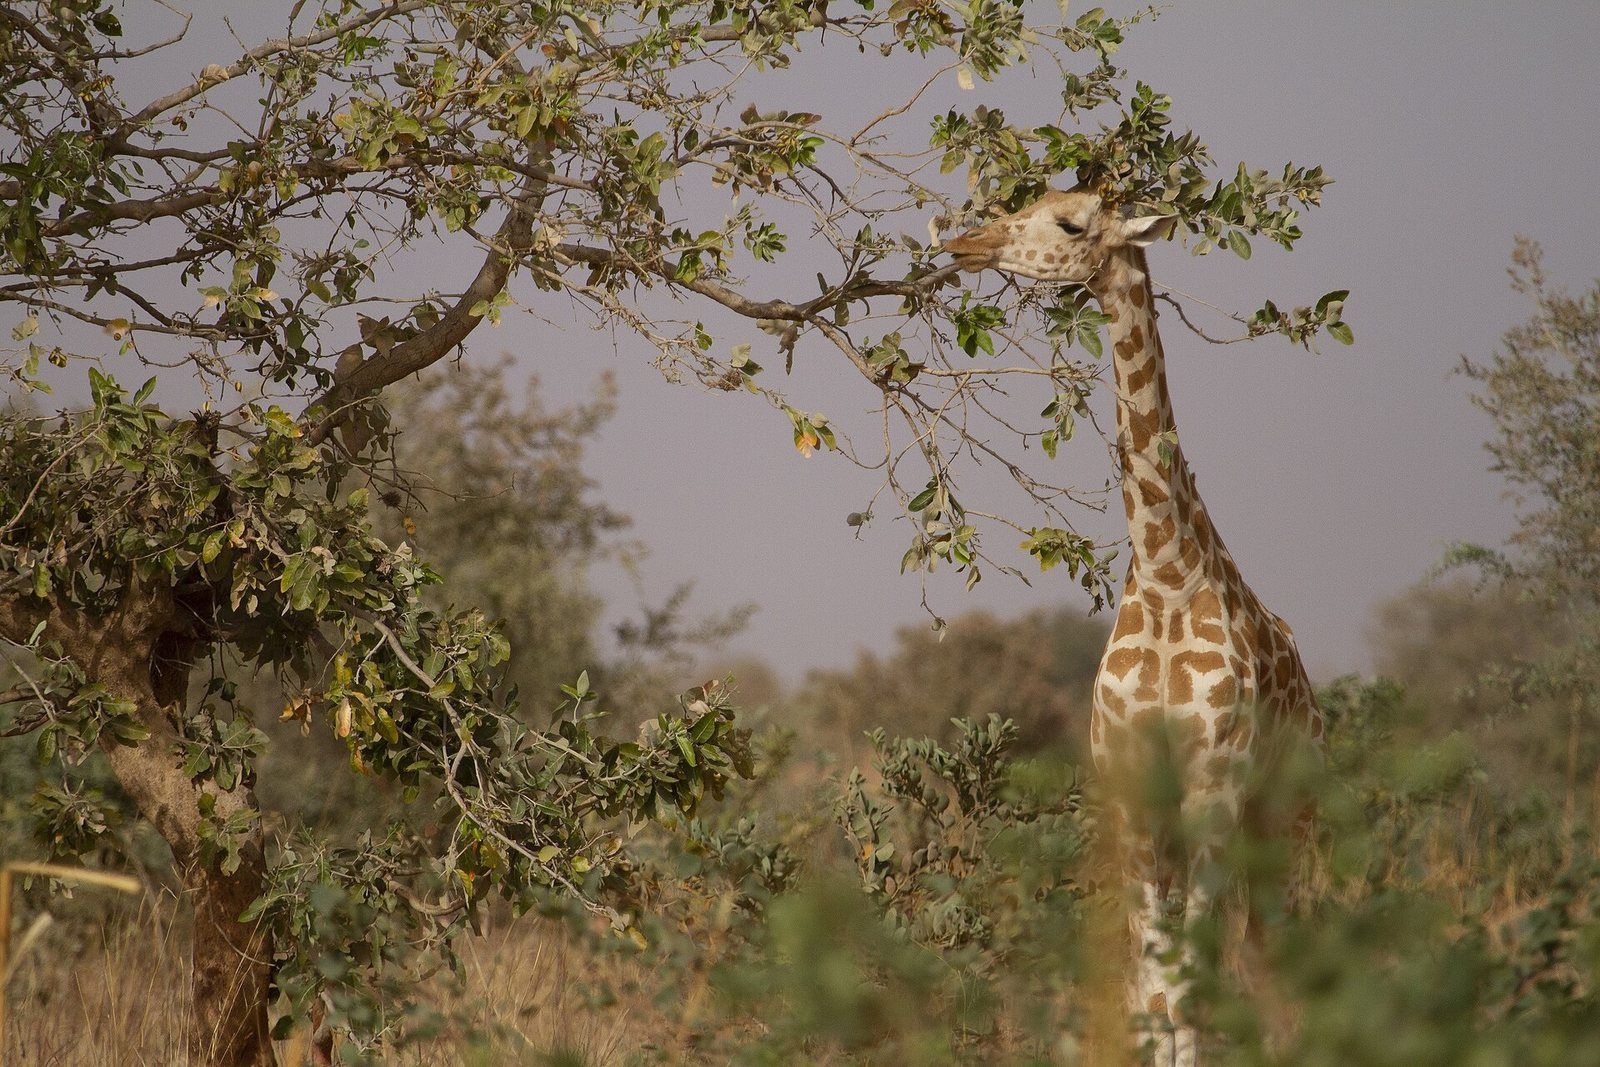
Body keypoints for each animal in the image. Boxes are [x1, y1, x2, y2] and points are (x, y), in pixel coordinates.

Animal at [944, 187, 1324, 1066]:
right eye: (1029, 197)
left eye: (1071, 223)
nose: (963, 243)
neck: (1163, 575)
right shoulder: (1132, 789)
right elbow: (1153, 983)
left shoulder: (1214, 783)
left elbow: (1190, 983)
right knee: (1248, 961)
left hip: (1286, 811)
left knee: (1274, 957)